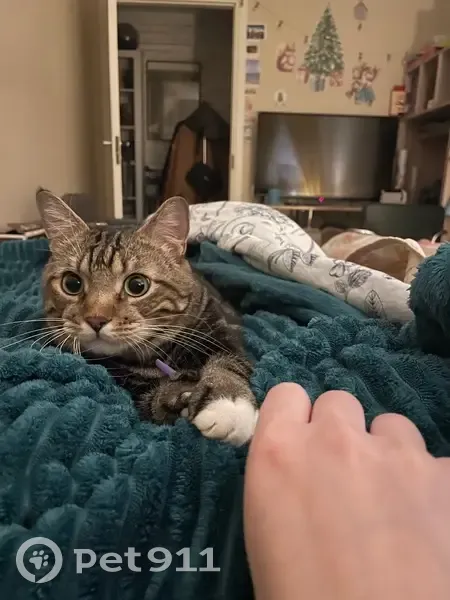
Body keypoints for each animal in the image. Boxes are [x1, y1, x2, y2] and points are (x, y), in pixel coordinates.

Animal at [35, 189, 258, 446]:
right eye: (72, 283)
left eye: (137, 285)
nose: (96, 320)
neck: (155, 354)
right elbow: (153, 401)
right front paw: (177, 395)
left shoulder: (221, 327)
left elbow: (227, 363)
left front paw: (228, 404)